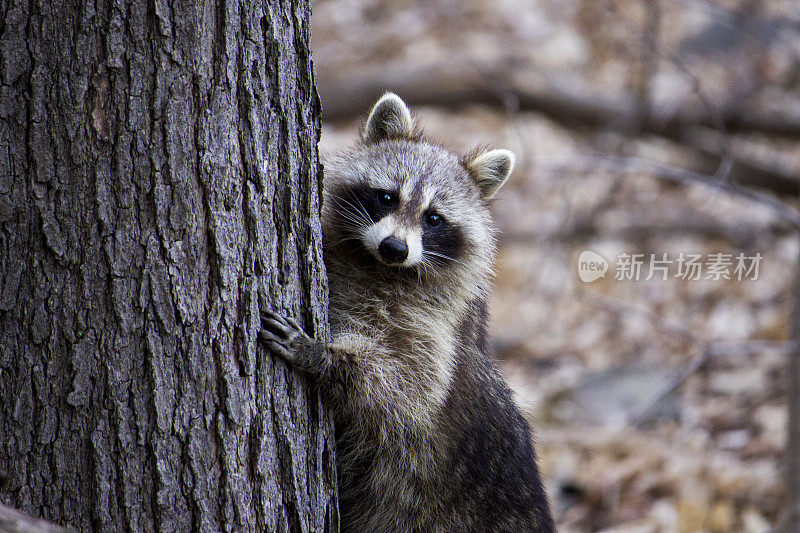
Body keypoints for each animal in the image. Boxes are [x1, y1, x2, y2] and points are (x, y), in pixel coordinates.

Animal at [260, 93, 552, 528]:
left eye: (434, 218)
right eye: (387, 197)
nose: (395, 248)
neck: (378, 267)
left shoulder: (437, 329)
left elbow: (406, 387)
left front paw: (324, 357)